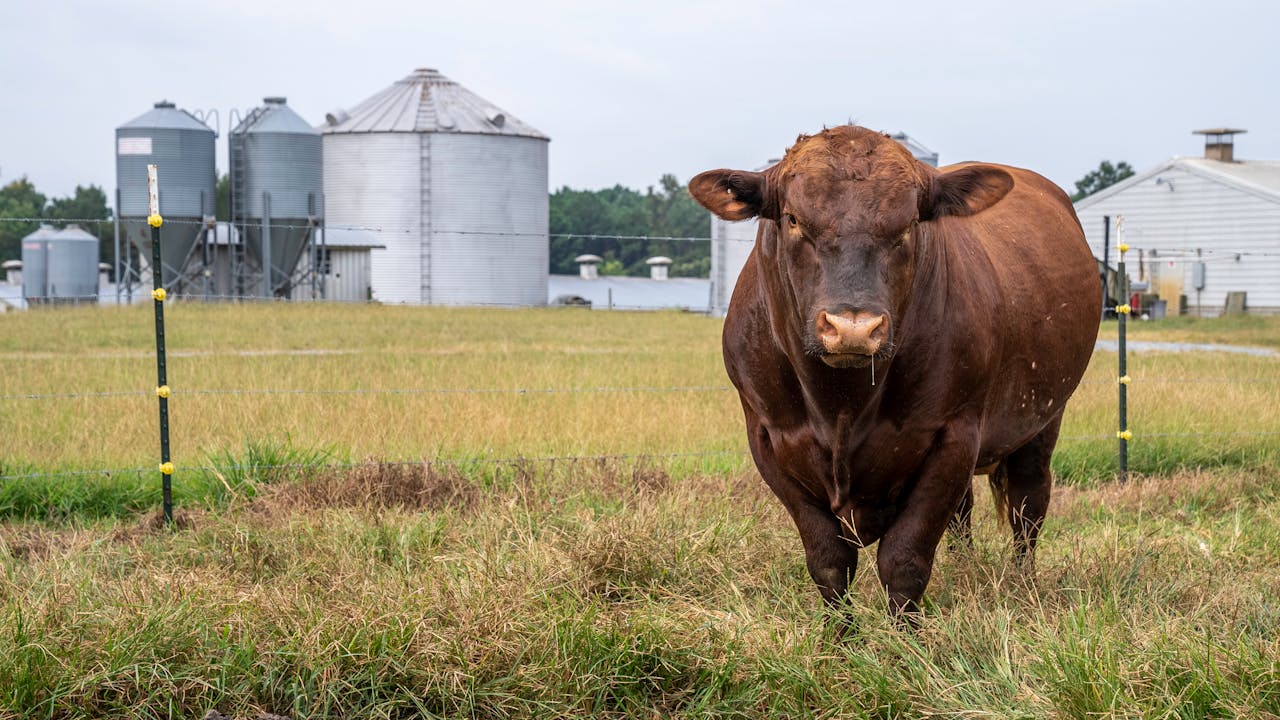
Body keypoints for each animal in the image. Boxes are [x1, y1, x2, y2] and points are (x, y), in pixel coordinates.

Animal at [691, 126, 1100, 620]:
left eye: (908, 225)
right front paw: (839, 638)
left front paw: (905, 639)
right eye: (791, 219)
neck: (840, 406)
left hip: (1043, 420)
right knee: (966, 512)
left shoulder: (953, 436)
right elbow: (829, 560)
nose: (853, 328)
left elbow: (905, 560)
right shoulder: (768, 438)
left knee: (1028, 504)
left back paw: (1023, 588)